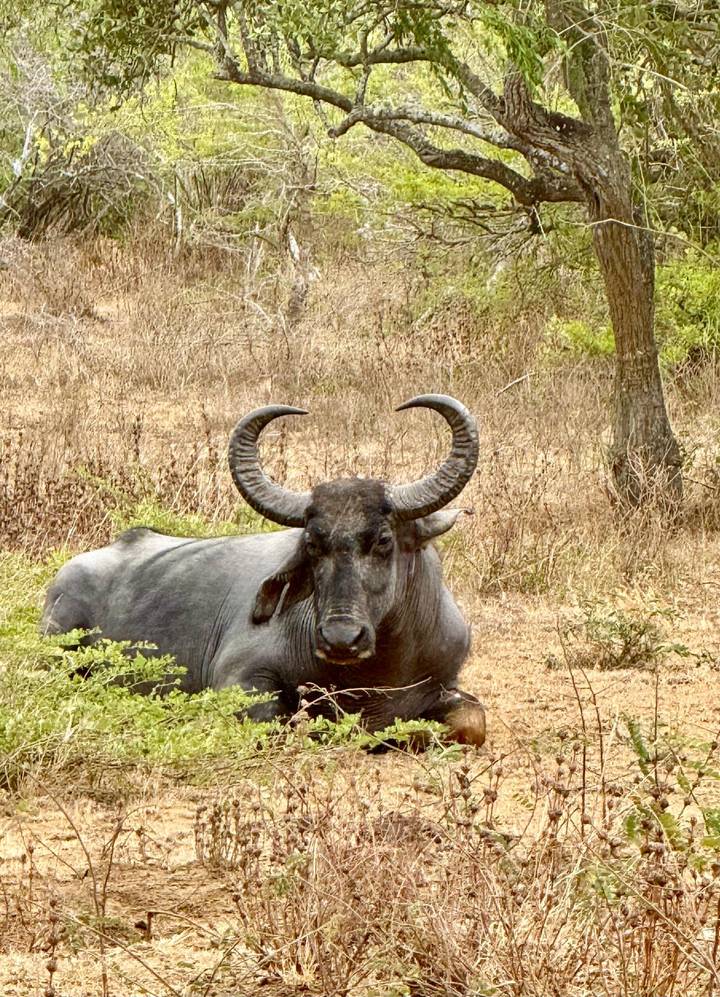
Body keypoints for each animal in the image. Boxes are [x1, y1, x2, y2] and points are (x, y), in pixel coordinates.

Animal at [41, 394, 485, 745]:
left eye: (383, 540)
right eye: (312, 543)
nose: (340, 639)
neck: (372, 677)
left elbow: (472, 723)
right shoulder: (240, 684)